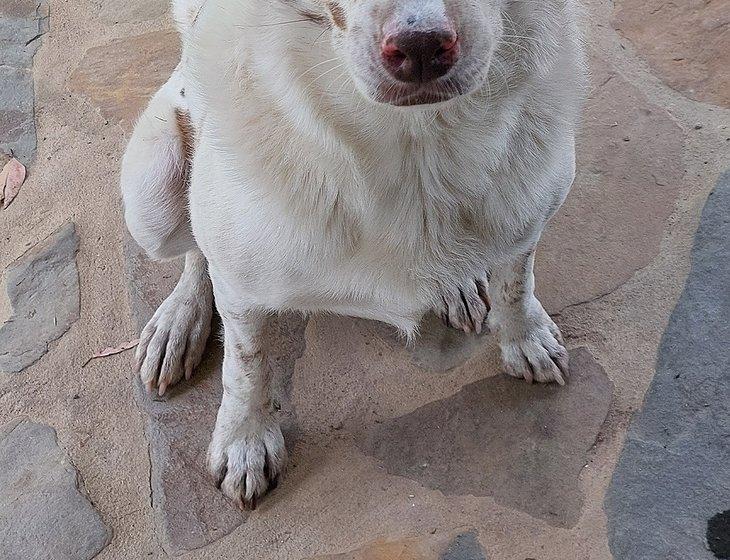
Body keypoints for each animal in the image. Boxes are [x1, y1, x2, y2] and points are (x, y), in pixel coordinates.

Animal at [121, 0, 584, 508]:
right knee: (194, 253)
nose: (421, 47)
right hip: (153, 198)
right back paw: (178, 321)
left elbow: (515, 284)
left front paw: (526, 339)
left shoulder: (529, 211)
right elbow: (246, 363)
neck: (416, 145)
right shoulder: (239, 282)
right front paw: (245, 438)